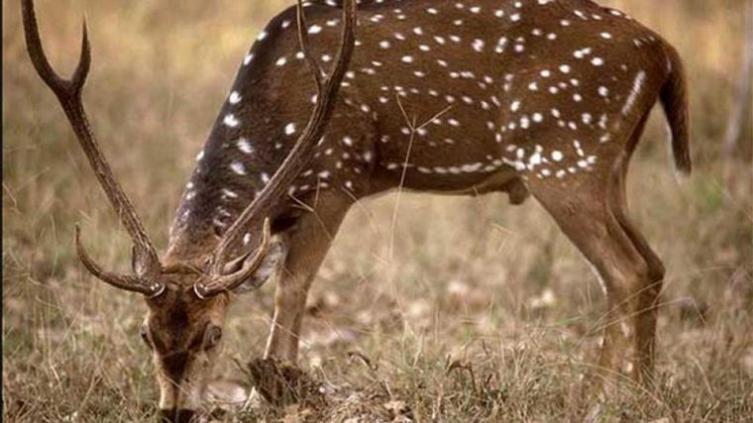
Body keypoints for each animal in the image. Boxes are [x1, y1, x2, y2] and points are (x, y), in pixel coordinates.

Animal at [23, 0, 690, 420]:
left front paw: (278, 387)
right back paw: (644, 394)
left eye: (215, 334)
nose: (176, 412)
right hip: (608, 166)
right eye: (145, 332)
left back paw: (596, 400)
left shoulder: (338, 177)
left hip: (564, 156)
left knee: (625, 270)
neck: (277, 119)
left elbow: (293, 284)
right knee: (654, 263)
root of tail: (664, 51)